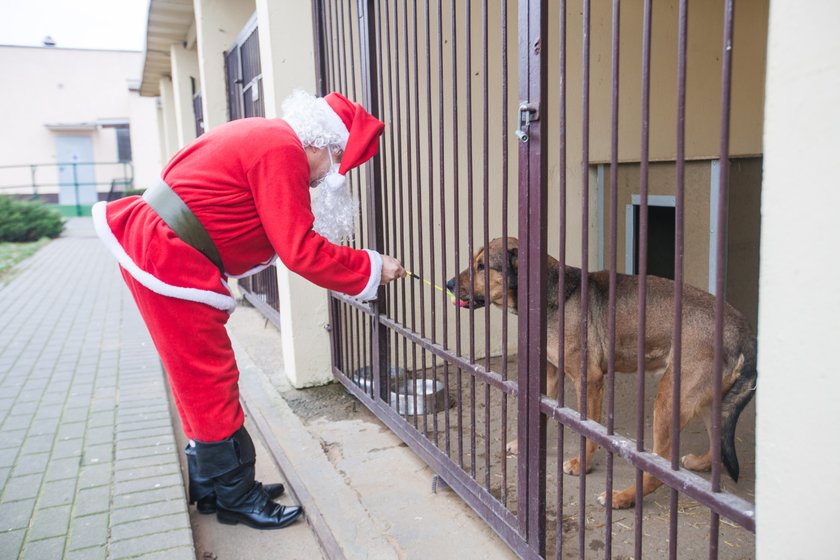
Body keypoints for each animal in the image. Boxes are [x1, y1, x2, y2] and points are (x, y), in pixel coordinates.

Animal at [450, 236, 756, 508]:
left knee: (659, 471)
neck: (554, 295)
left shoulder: (589, 380)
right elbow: (541, 415)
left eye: (482, 266)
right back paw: (698, 466)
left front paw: (581, 465)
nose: (449, 284)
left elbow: (589, 433)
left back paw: (621, 498)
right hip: (704, 402)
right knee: (715, 447)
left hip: (668, 402)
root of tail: (743, 330)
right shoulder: (549, 374)